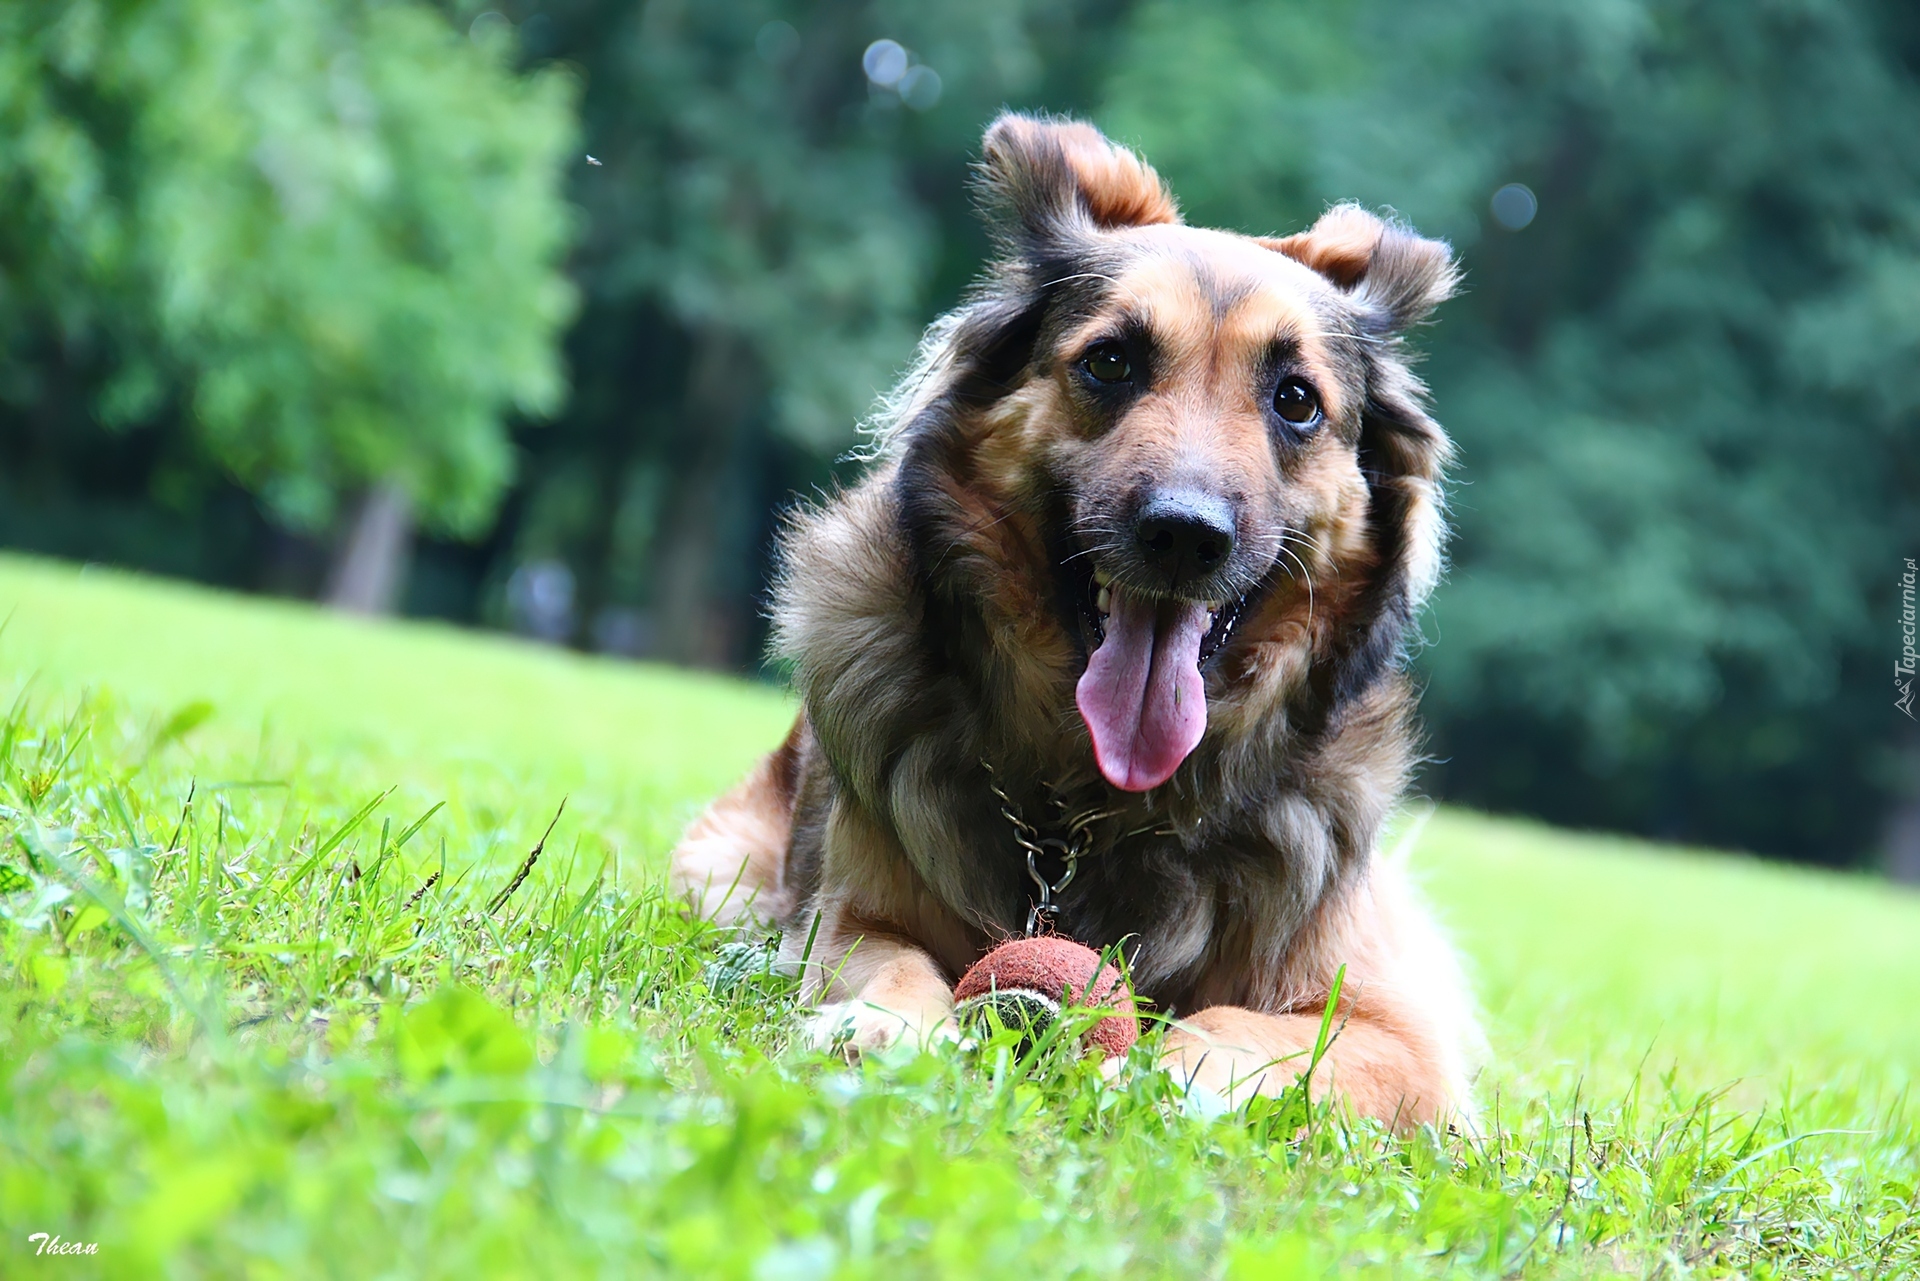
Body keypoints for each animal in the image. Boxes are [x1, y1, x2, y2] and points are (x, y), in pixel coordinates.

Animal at [675, 115, 1482, 1129]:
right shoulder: (854, 909)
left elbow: (1238, 1028)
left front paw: (1160, 1074)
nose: (1184, 535)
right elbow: (887, 960)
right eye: (1110, 361)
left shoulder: (1399, 1035)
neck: (1094, 805)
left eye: (1296, 399)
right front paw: (884, 1027)